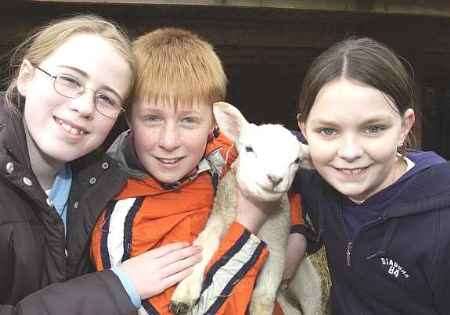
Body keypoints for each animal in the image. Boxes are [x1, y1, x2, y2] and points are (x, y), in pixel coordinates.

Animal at [171, 102, 326, 314]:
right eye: (249, 149)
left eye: (296, 161)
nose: (275, 178)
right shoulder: (219, 219)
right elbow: (203, 247)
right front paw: (183, 296)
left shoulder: (277, 246)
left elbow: (264, 297)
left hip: (309, 283)